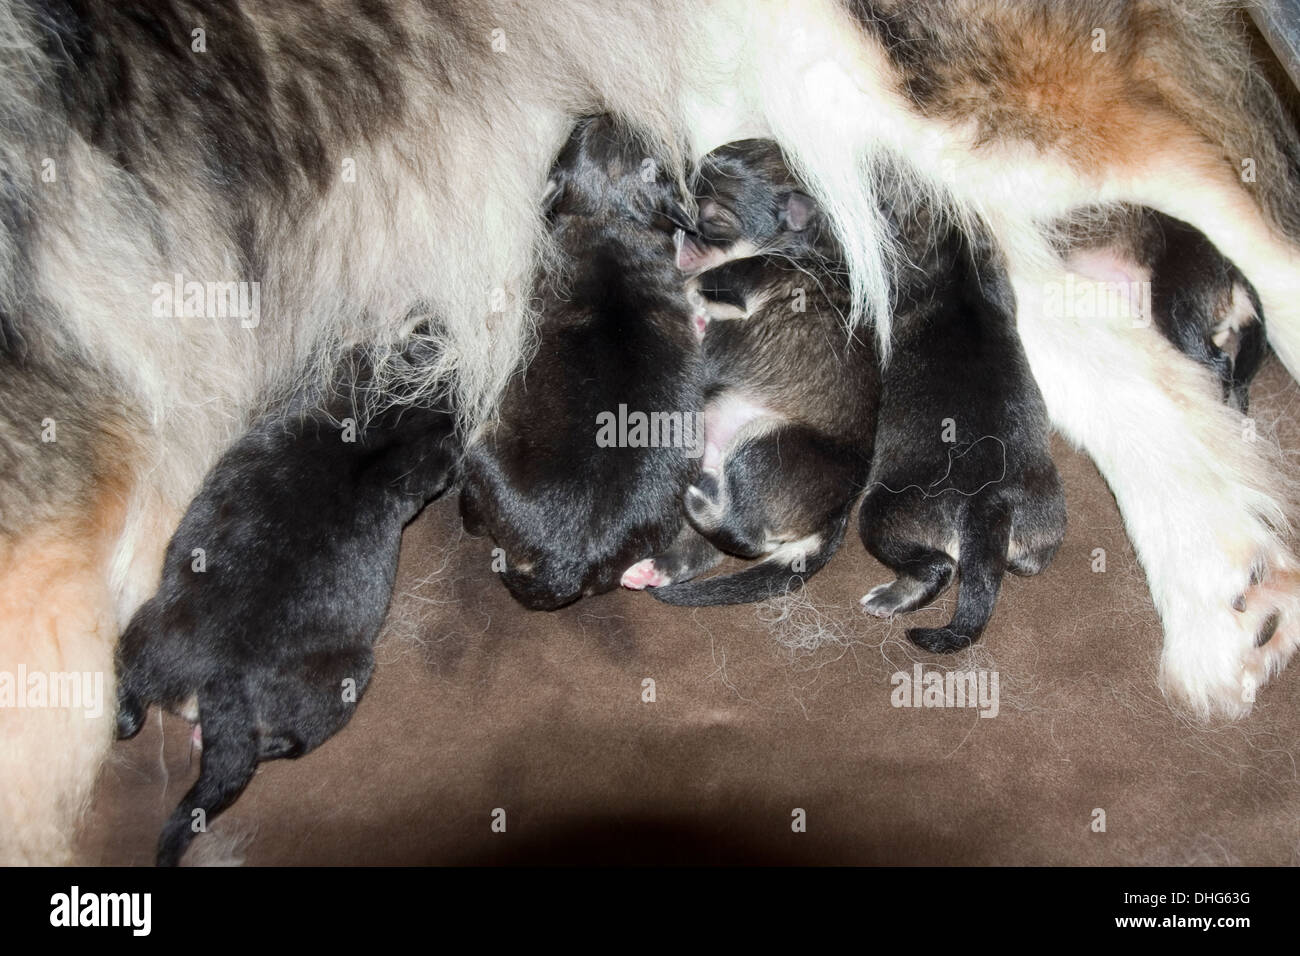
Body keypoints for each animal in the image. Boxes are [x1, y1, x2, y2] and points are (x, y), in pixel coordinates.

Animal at [116, 343, 460, 868]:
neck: (376, 427)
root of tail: (220, 685)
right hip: (347, 677)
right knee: (293, 741)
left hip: (146, 626)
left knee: (129, 698)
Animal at [624, 140, 878, 606]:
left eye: (712, 219)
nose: (678, 231)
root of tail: (833, 520)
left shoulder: (734, 281)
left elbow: (693, 285)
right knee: (700, 548)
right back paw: (653, 567)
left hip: (765, 442)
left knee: (743, 532)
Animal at [863, 196, 1066, 658]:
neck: (956, 266)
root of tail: (987, 500)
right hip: (1045, 519)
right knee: (1028, 561)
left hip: (882, 513)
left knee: (938, 565)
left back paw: (890, 598)